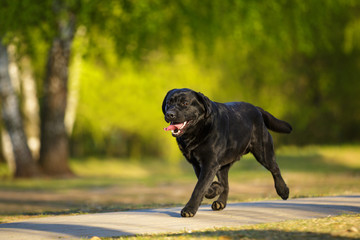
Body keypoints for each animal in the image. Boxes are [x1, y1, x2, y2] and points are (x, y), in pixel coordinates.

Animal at [163, 88, 292, 218]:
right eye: (169, 102)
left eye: (185, 103)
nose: (169, 114)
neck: (196, 133)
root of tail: (256, 108)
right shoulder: (198, 165)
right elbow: (205, 185)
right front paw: (216, 188)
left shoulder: (210, 164)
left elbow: (199, 187)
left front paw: (189, 209)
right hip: (223, 167)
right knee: (226, 185)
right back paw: (220, 202)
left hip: (263, 152)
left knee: (275, 169)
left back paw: (283, 191)